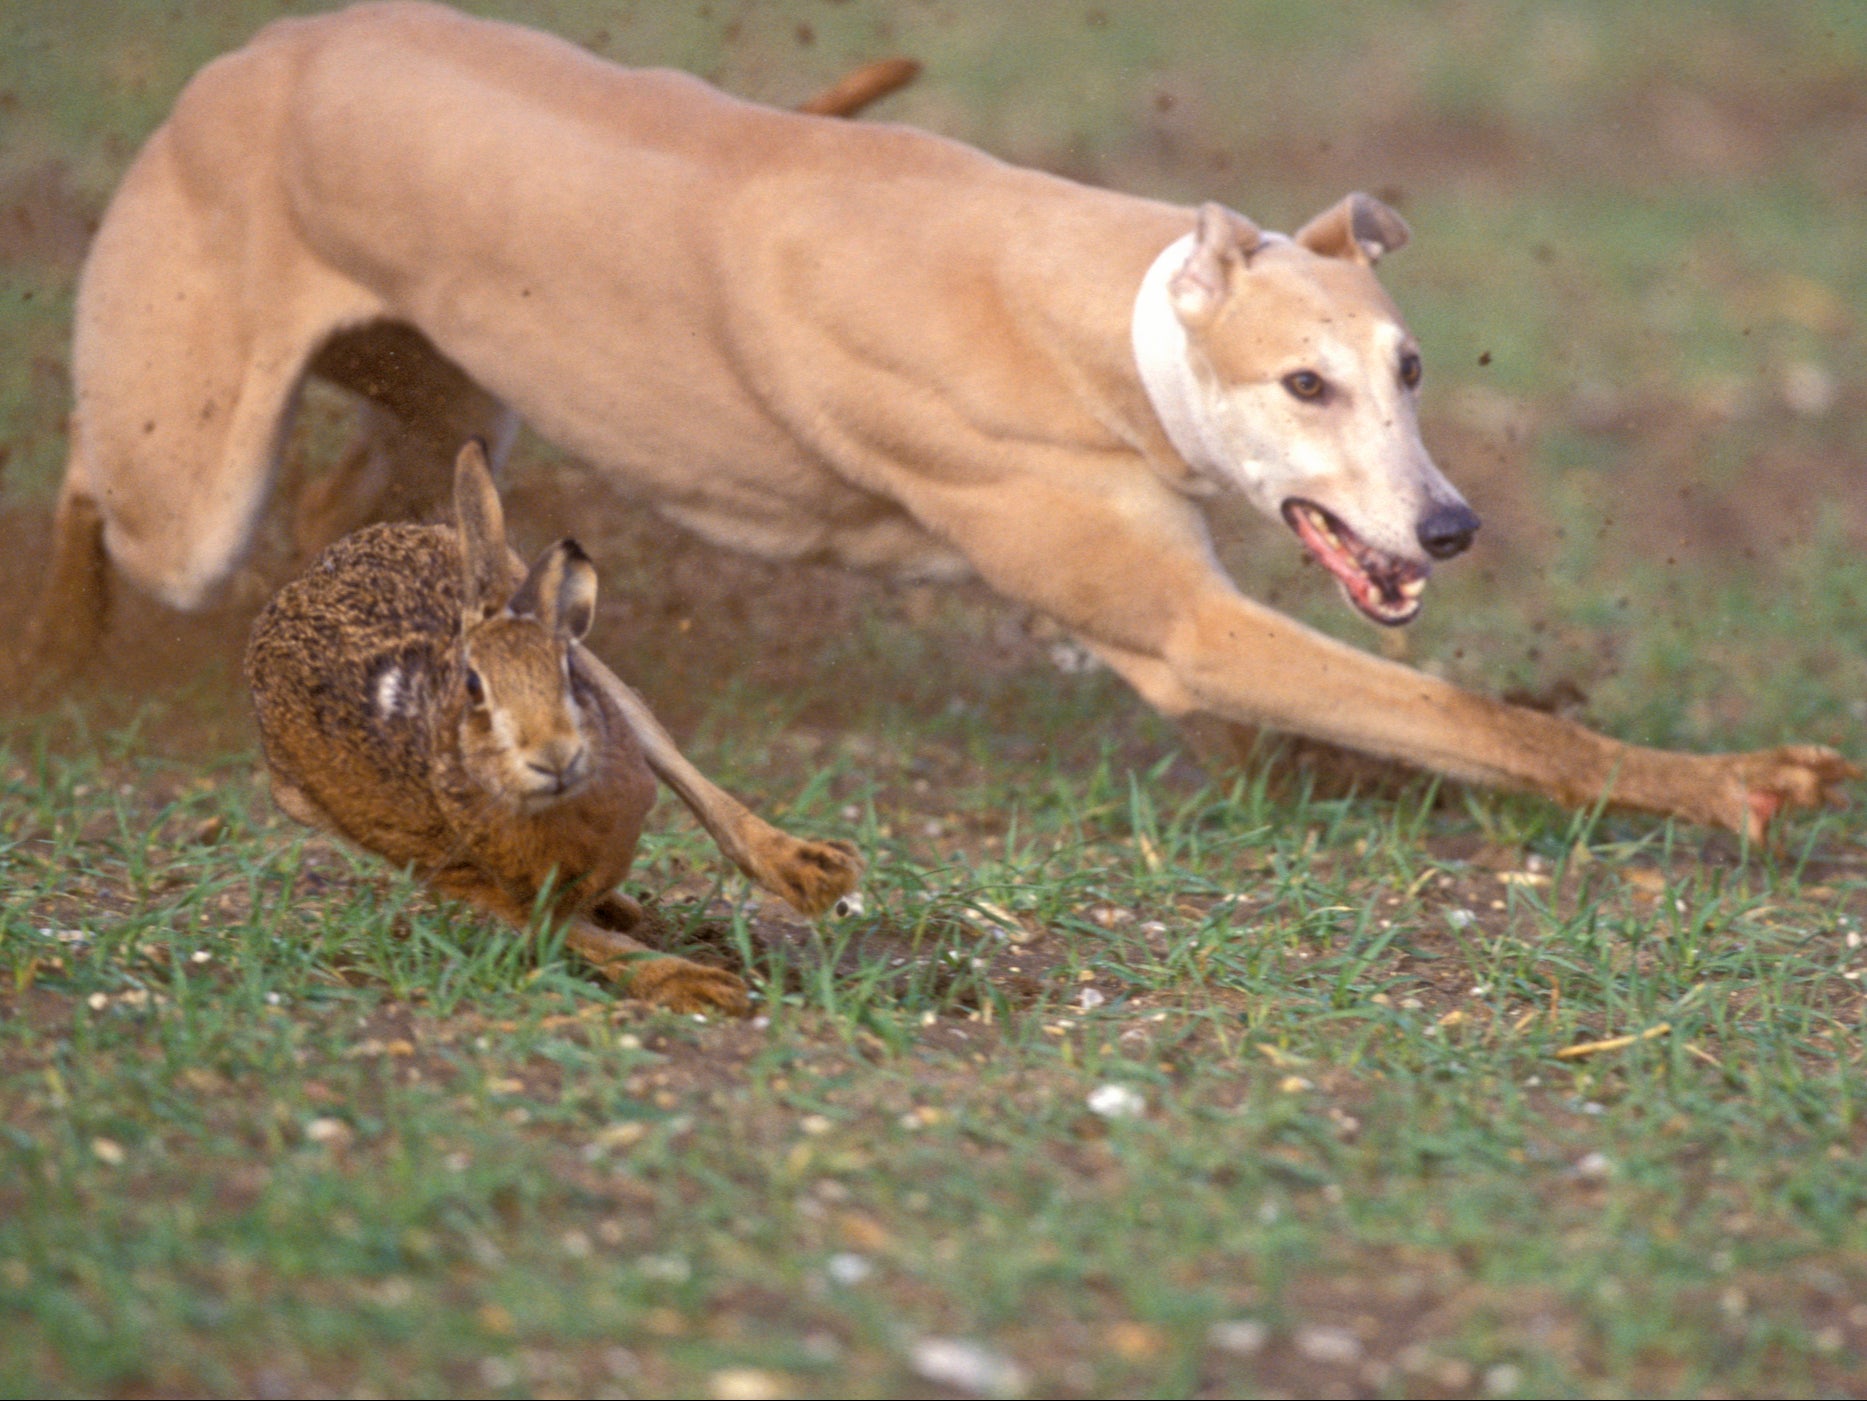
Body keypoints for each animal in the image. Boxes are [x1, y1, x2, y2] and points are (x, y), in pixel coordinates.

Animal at [25, 5, 1852, 840]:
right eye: (1305, 384)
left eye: (1408, 369)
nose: (1452, 528)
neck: (1110, 316)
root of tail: (258, 53)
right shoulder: (1183, 627)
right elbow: (1478, 717)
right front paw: (1735, 783)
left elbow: (1385, 721)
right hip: (187, 470)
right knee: (106, 486)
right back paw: (54, 649)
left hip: (444, 386)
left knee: (364, 500)